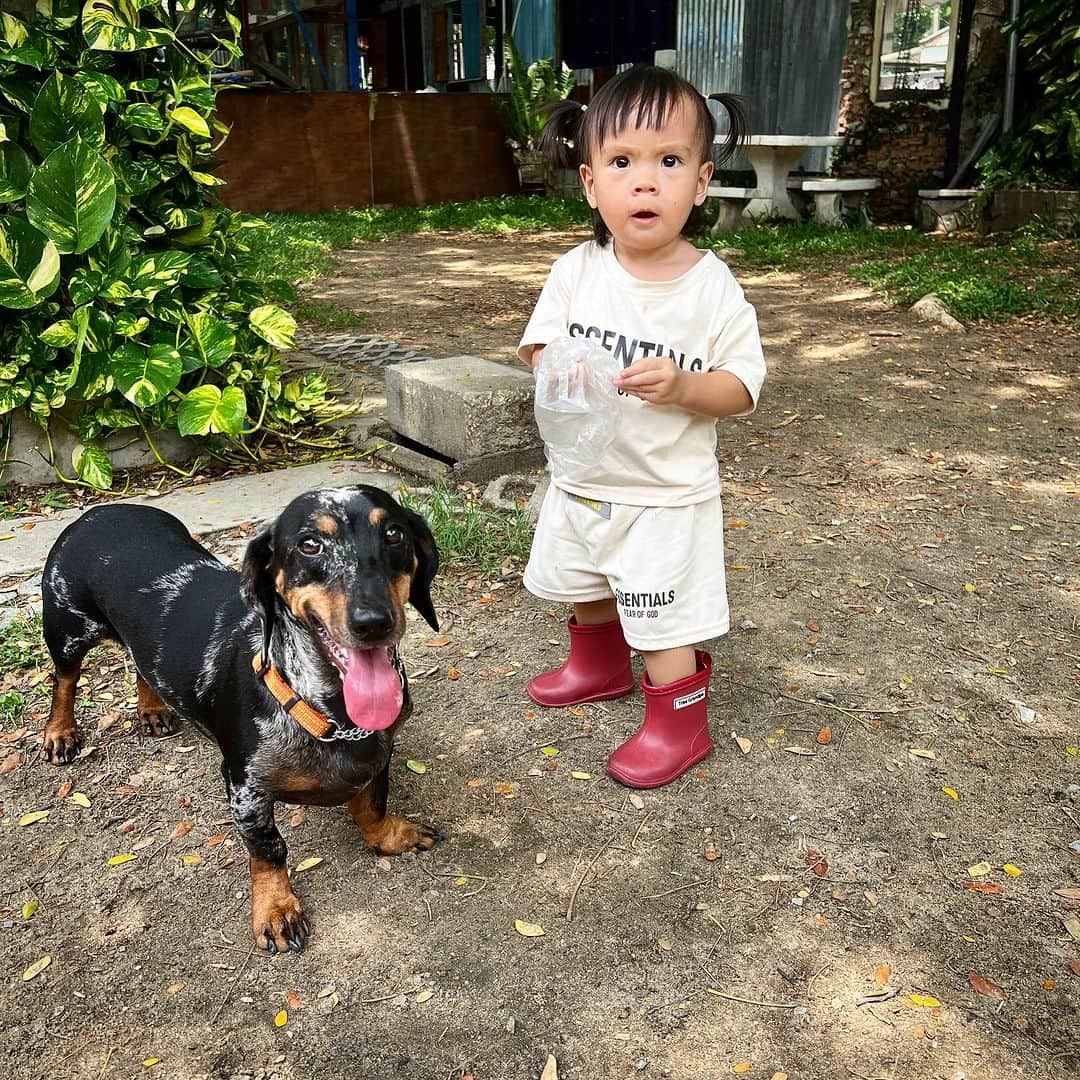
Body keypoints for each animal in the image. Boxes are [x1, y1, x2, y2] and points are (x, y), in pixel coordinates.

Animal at [39, 486, 440, 950]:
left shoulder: (379, 754)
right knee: (64, 681)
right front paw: (277, 908)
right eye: (309, 544)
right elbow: (269, 849)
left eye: (394, 533)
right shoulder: (245, 790)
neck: (331, 711)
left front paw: (390, 837)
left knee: (142, 665)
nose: (373, 622)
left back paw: (152, 709)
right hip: (67, 632)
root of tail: (100, 511)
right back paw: (60, 732)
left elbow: (372, 805)